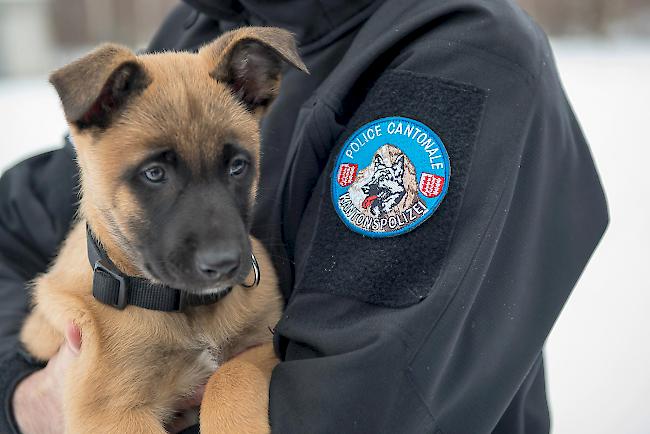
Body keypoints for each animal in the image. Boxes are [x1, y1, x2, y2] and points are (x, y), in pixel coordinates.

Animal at [17, 28, 306, 434]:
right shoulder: (109, 411)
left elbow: (230, 375)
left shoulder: (261, 345)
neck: (184, 309)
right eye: (154, 174)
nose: (224, 264)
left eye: (237, 166)